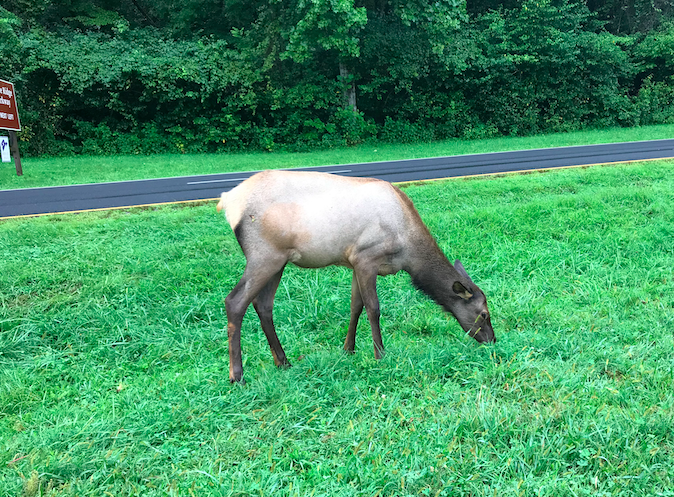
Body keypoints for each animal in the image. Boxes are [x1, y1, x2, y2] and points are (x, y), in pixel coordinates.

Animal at [217, 170, 495, 383]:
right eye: (484, 314)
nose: (492, 341)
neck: (407, 250)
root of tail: (227, 201)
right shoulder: (366, 258)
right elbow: (373, 308)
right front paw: (380, 353)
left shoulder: (353, 262)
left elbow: (355, 306)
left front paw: (348, 349)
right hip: (264, 254)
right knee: (235, 301)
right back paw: (237, 375)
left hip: (278, 260)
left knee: (263, 304)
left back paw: (283, 361)